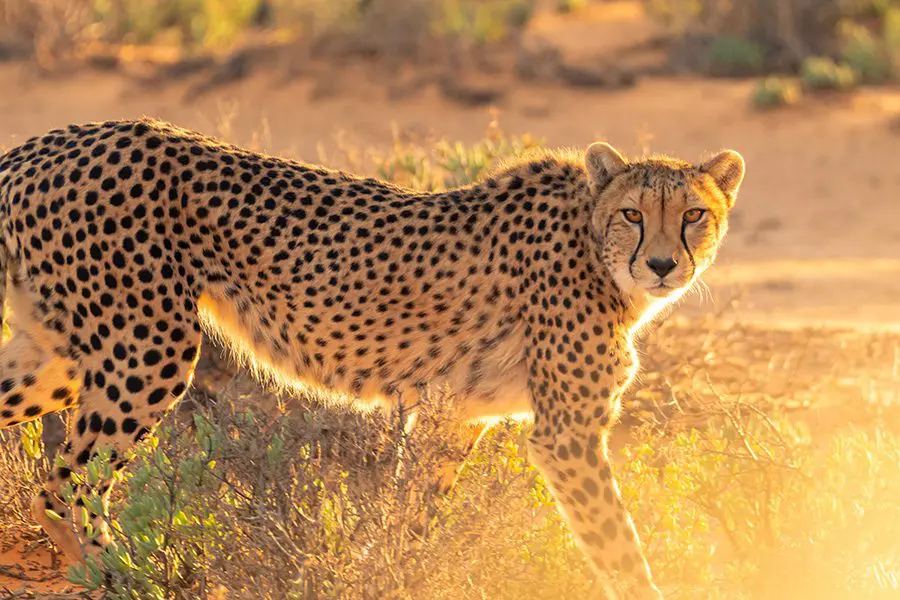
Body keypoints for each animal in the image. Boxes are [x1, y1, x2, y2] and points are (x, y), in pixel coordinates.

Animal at [0, 118, 744, 599]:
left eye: (694, 215)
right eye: (633, 213)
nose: (662, 265)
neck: (594, 245)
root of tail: (46, 142)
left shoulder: (453, 417)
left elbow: (410, 520)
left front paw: (388, 574)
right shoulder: (566, 436)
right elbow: (619, 547)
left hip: (60, 354)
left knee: (47, 470)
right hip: (146, 349)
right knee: (70, 482)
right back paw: (121, 576)